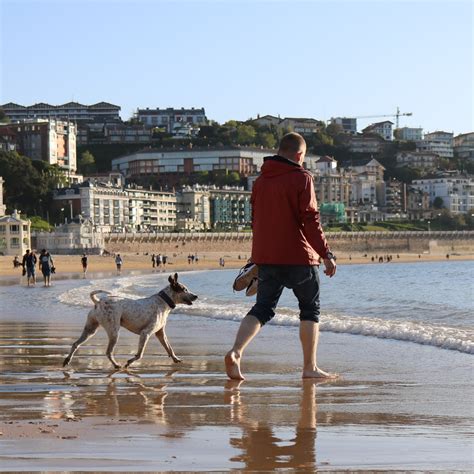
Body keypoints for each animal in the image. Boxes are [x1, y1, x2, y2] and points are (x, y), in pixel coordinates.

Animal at [63, 274, 196, 370]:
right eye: (185, 289)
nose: (196, 296)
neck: (163, 302)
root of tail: (98, 302)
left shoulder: (160, 333)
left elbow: (169, 348)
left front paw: (175, 359)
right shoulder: (145, 333)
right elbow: (139, 354)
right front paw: (129, 362)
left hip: (90, 329)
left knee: (75, 344)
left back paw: (67, 360)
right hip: (114, 332)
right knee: (108, 352)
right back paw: (116, 365)